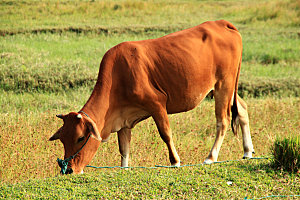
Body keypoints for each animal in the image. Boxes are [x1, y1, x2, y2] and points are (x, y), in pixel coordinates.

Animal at [49, 19, 255, 174]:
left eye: (80, 138)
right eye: (63, 140)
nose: (68, 170)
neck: (118, 75)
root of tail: (222, 23)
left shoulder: (157, 104)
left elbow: (166, 134)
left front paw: (175, 162)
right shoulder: (123, 120)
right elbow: (124, 148)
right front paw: (124, 169)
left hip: (224, 85)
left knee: (223, 121)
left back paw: (211, 157)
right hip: (229, 89)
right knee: (242, 109)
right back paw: (247, 152)